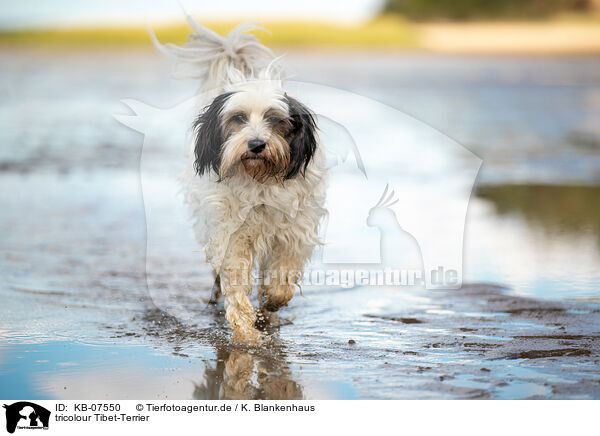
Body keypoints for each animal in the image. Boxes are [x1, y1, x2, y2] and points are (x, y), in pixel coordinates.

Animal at [152, 19, 326, 344]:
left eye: (275, 119)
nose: (256, 144)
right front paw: (245, 330)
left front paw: (271, 303)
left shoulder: (293, 233)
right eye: (238, 118)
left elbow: (281, 280)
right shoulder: (232, 233)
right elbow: (234, 278)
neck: (259, 180)